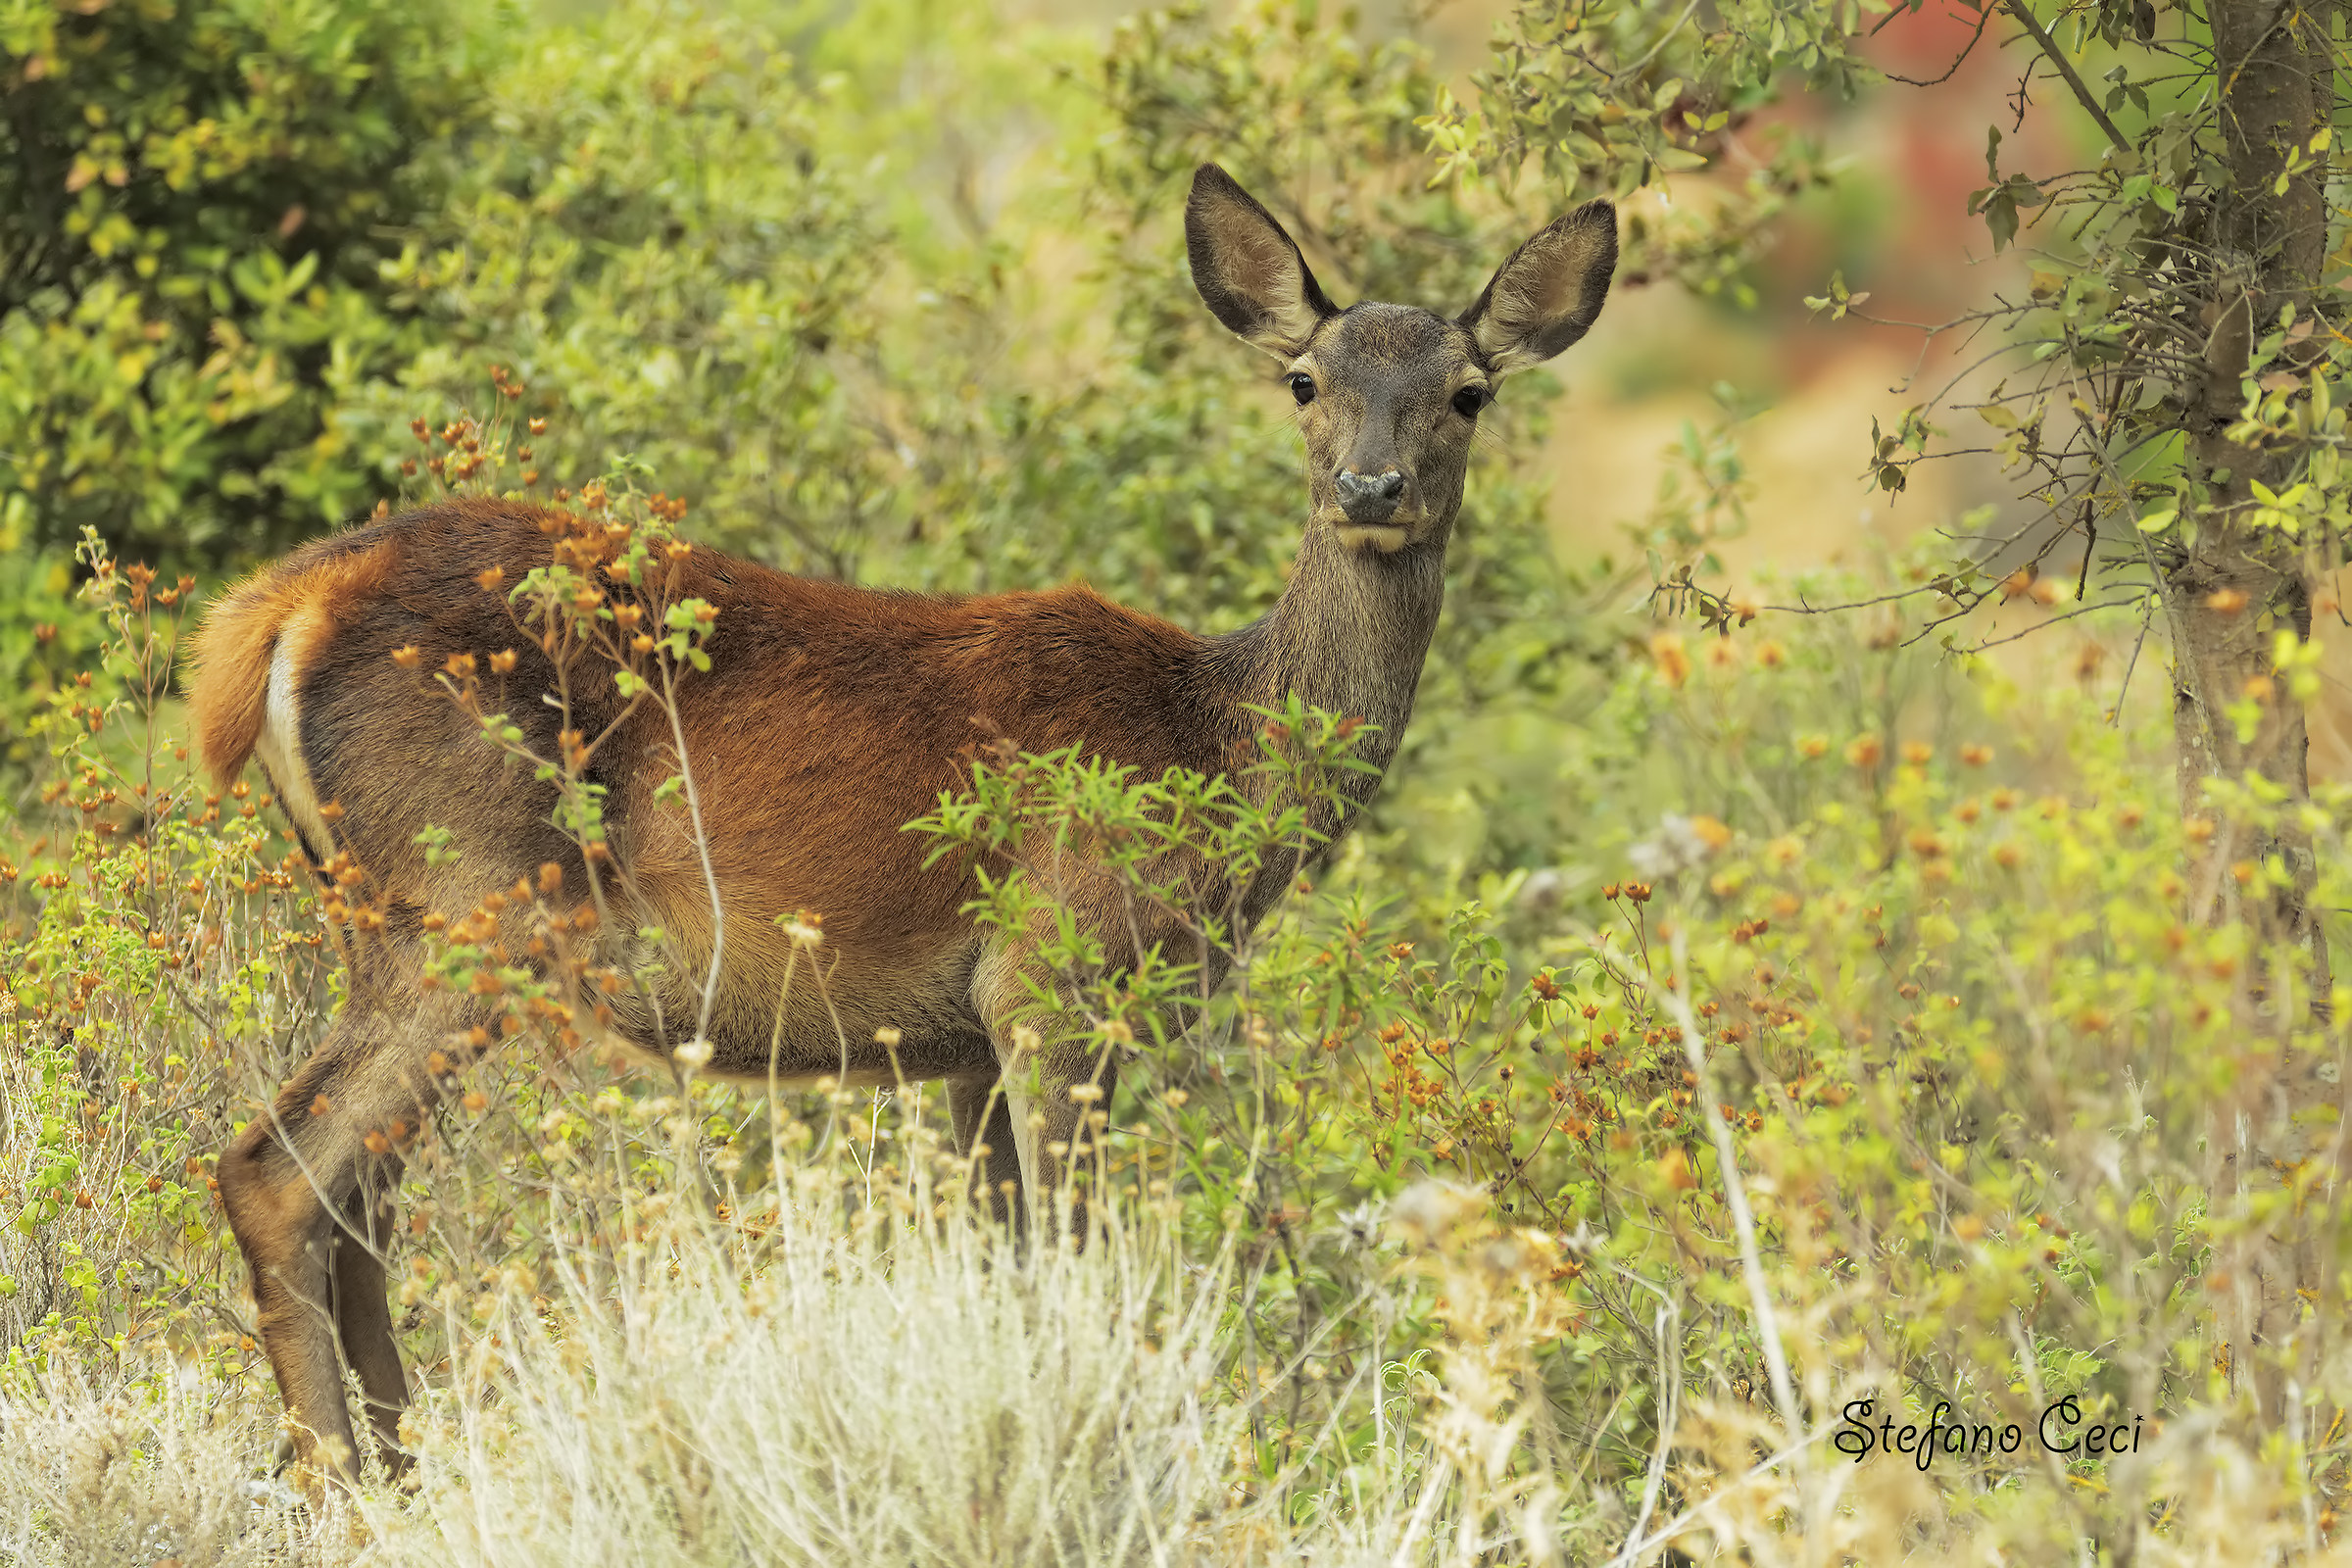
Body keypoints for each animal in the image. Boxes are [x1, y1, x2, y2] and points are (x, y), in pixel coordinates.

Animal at [186, 163, 1616, 1482]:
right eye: (1305, 382)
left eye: (1469, 392)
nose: (1372, 488)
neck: (1218, 750)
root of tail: (285, 606)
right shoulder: (1055, 972)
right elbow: (1077, 1262)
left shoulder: (963, 1042)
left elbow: (1012, 1269)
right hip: (473, 897)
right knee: (277, 1171)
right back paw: (341, 1487)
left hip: (397, 914)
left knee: (359, 1203)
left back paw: (404, 1470)